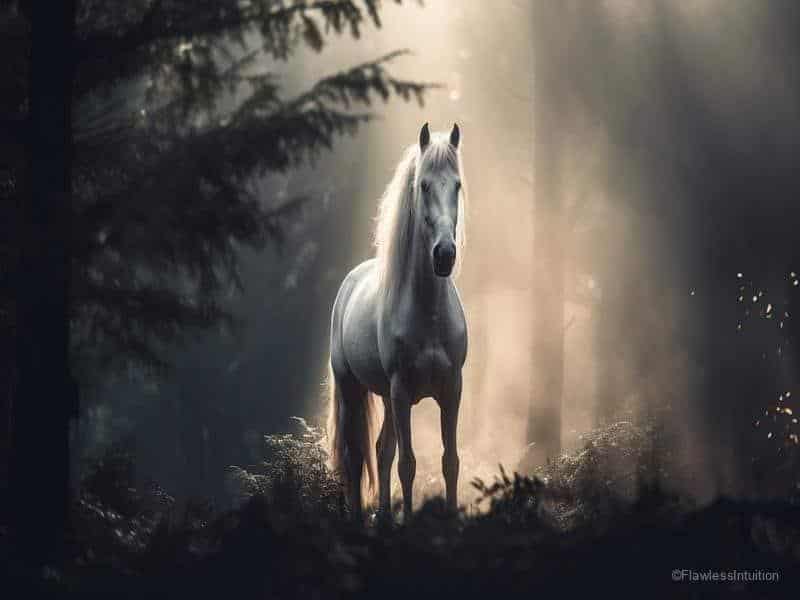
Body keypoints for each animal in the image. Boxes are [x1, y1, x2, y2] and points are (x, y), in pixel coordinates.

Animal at [327, 122, 468, 521]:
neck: (427, 314)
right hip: (353, 388)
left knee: (381, 449)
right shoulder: (403, 391)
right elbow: (408, 464)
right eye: (423, 185)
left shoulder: (452, 389)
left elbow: (450, 461)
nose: (444, 255)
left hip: (386, 397)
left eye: (457, 185)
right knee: (355, 456)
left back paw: (386, 517)